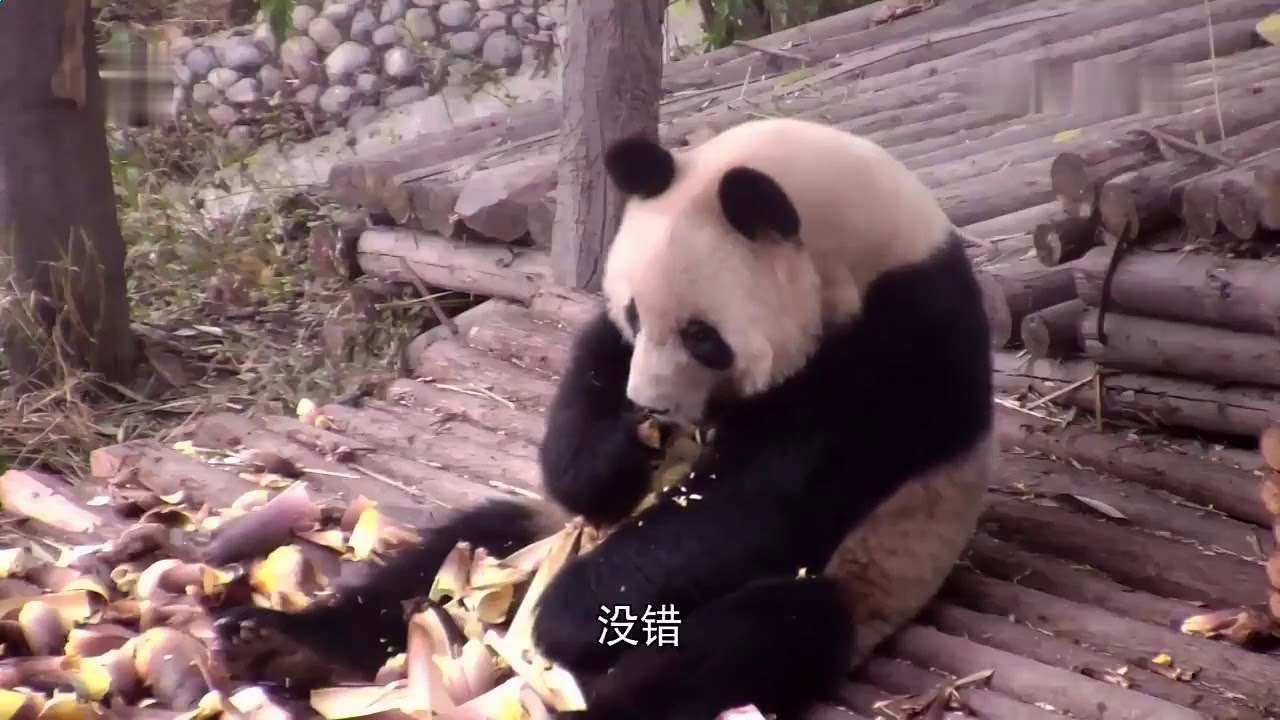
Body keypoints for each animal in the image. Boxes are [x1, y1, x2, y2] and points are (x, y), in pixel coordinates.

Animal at [213, 117, 996, 720]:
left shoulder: (895, 352)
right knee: (459, 548)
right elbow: (586, 397)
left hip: (866, 579)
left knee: (752, 641)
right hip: (533, 536)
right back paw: (283, 644)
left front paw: (566, 616)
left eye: (704, 338)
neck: (863, 246)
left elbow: (766, 499)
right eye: (636, 314)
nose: (651, 406)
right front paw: (620, 450)